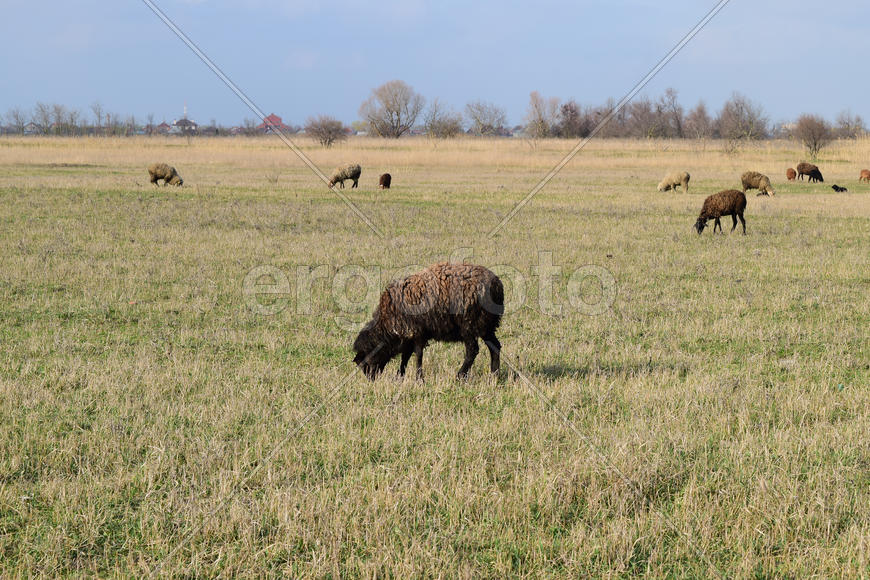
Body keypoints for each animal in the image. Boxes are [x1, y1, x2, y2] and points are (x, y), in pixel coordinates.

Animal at [353, 262, 504, 381]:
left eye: (366, 362)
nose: (371, 380)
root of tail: (496, 285)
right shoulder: (409, 335)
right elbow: (405, 356)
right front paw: (400, 376)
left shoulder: (418, 332)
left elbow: (418, 355)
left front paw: (419, 378)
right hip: (486, 325)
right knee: (495, 346)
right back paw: (494, 376)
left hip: (469, 325)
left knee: (472, 350)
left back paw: (459, 376)